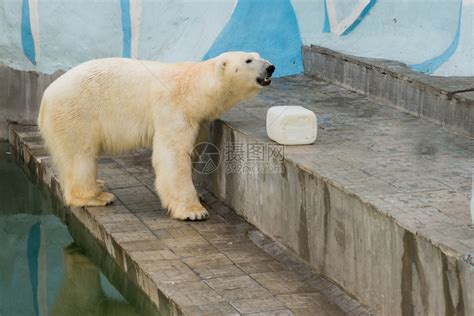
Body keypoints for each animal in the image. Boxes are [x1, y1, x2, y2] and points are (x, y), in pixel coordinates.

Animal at [38, 51, 274, 220]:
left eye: (257, 54)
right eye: (248, 60)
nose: (271, 67)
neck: (194, 87)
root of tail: (46, 96)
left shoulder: (199, 118)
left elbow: (195, 148)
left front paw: (198, 194)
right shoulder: (173, 108)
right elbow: (172, 155)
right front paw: (193, 211)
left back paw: (100, 184)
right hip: (76, 113)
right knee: (80, 155)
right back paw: (97, 196)